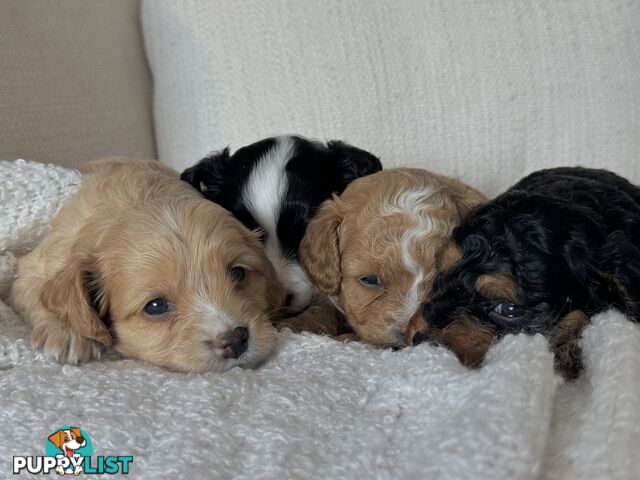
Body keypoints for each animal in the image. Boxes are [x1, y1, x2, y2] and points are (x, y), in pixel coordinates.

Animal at [9, 159, 284, 374]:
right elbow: (36, 291)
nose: (235, 340)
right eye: (156, 306)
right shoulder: (35, 264)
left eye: (238, 273)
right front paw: (68, 332)